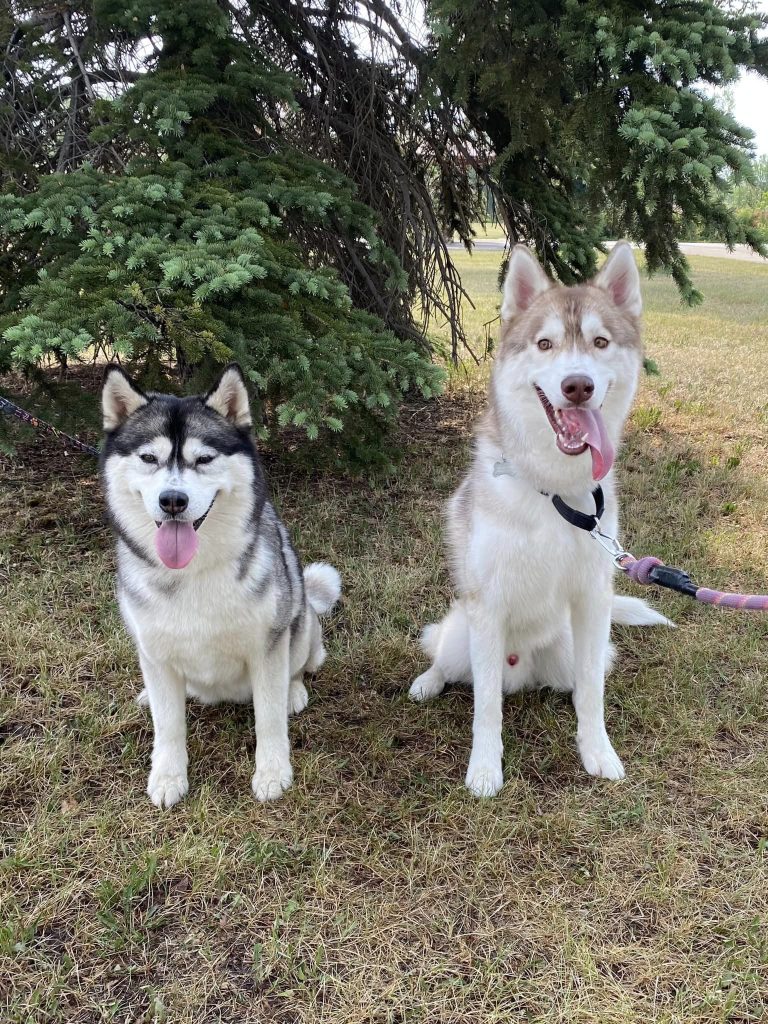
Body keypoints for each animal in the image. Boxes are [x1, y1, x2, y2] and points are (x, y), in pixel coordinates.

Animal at [100, 364, 341, 808]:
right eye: (149, 458)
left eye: (204, 459)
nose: (172, 500)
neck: (192, 573)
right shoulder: (153, 648)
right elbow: (168, 725)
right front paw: (168, 776)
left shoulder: (266, 646)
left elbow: (268, 718)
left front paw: (272, 772)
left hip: (300, 623)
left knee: (299, 666)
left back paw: (294, 692)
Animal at [409, 242, 671, 797]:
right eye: (545, 343)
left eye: (599, 342)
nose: (577, 385)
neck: (553, 491)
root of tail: (522, 671)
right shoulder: (486, 607)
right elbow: (486, 706)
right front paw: (485, 769)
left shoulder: (593, 600)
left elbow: (591, 694)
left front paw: (597, 751)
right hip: (461, 633)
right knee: (445, 658)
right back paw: (428, 681)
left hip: (572, 650)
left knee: (576, 681)